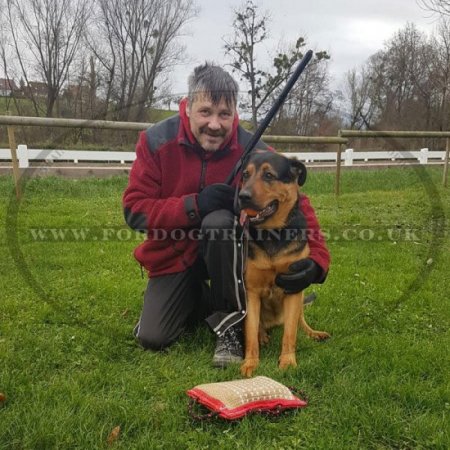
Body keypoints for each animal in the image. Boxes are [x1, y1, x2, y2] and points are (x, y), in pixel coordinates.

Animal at [237, 150, 328, 376]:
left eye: (269, 175)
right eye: (245, 175)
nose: (242, 196)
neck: (273, 234)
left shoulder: (293, 288)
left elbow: (290, 333)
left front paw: (287, 362)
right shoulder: (251, 291)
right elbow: (250, 332)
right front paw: (250, 363)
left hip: (301, 294)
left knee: (299, 321)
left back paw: (313, 333)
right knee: (258, 326)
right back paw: (263, 335)